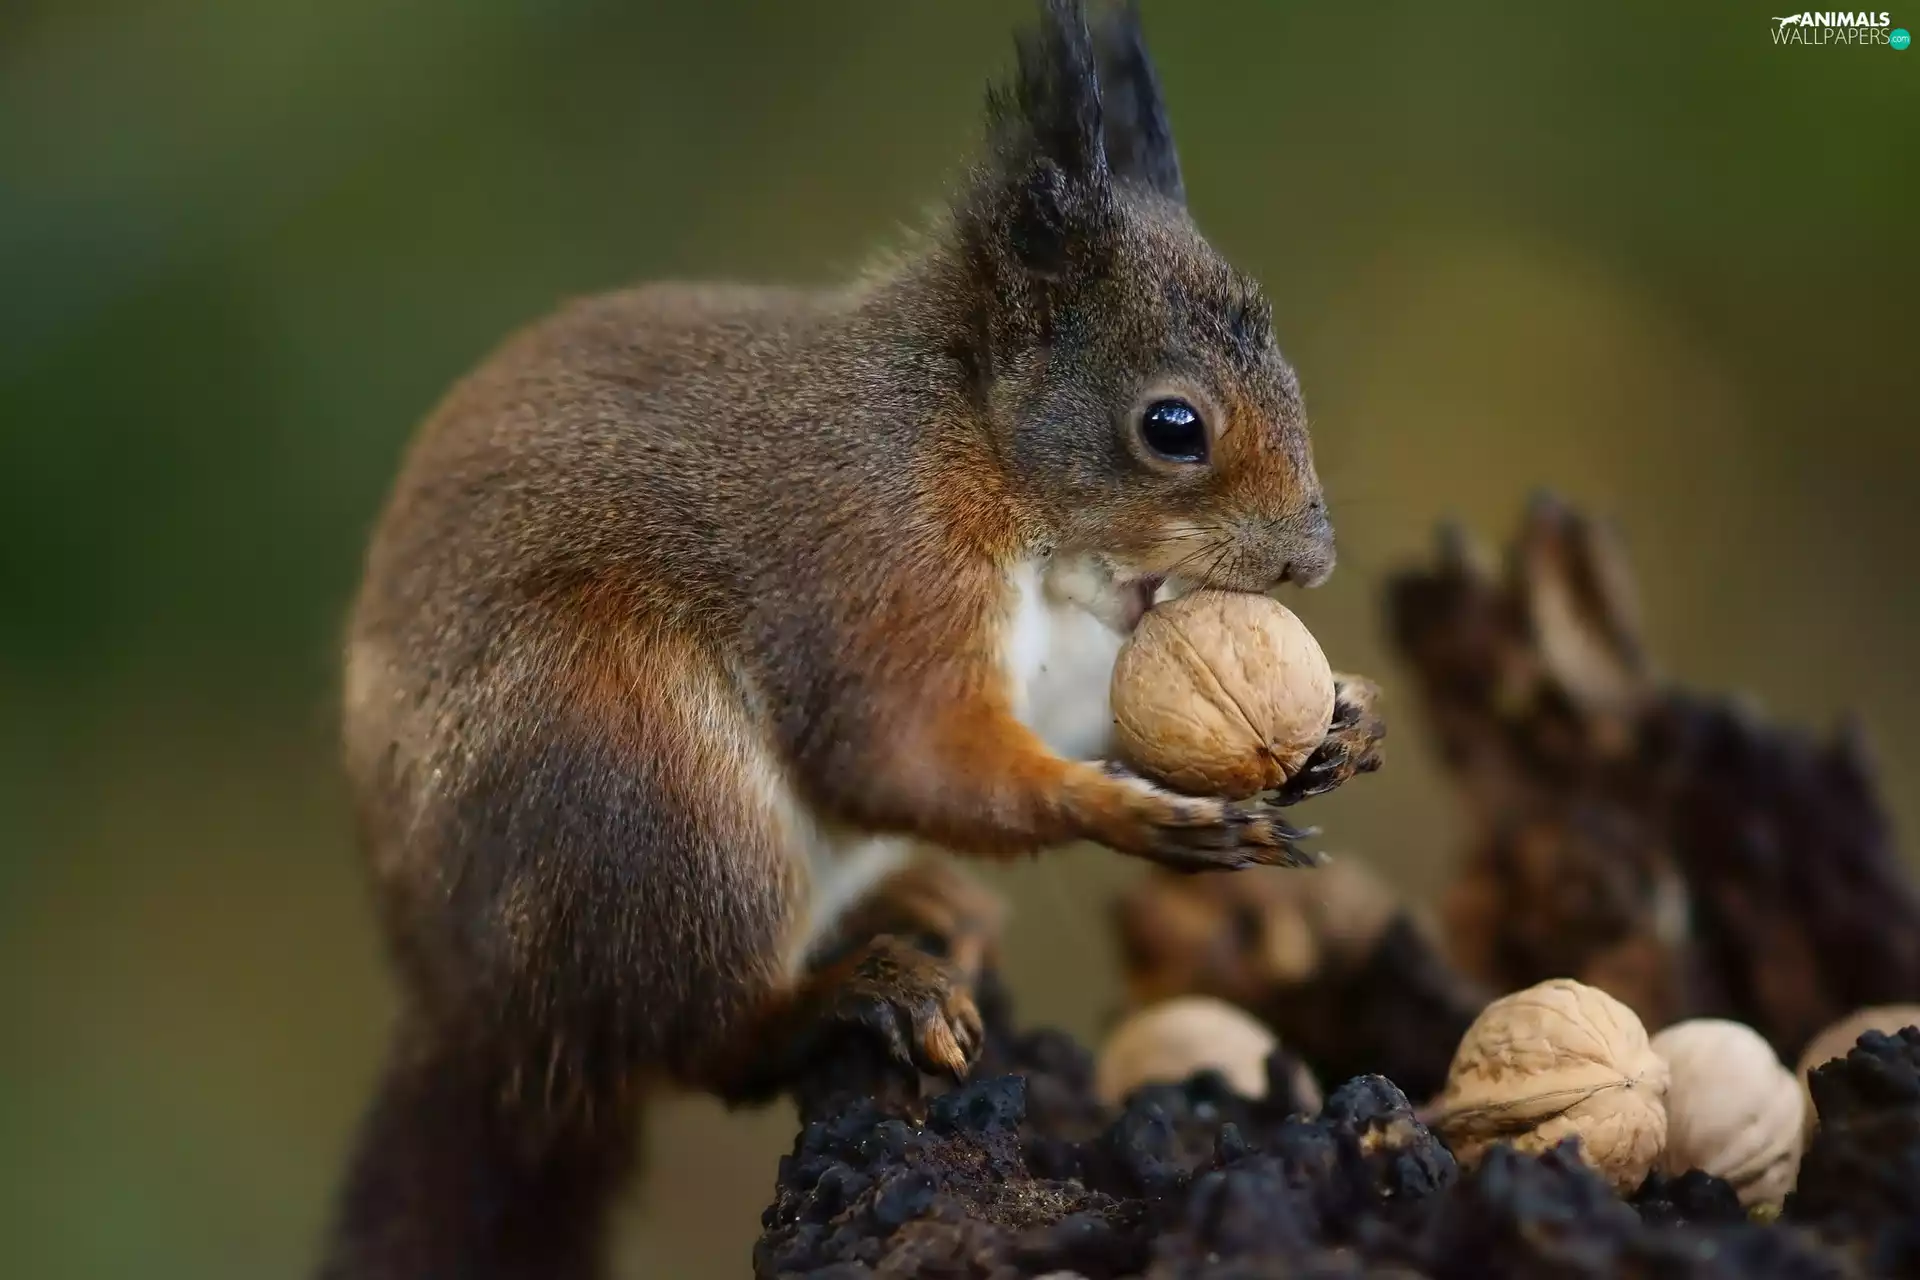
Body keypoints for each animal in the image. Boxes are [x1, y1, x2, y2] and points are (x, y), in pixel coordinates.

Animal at [319, 3, 1384, 1277]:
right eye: (1172, 426)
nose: (1312, 560)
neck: (978, 447)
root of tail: (479, 1019)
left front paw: (1339, 719)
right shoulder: (875, 556)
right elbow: (894, 749)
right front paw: (1138, 812)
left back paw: (917, 903)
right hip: (642, 787)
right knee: (699, 1039)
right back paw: (849, 992)